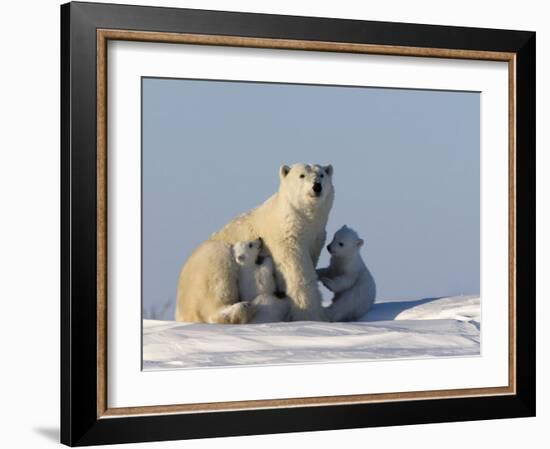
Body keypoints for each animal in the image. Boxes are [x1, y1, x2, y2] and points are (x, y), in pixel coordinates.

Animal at [175, 162, 334, 322]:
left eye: (322, 174)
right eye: (301, 175)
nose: (317, 186)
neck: (300, 218)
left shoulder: (316, 237)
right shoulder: (285, 237)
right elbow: (297, 272)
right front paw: (312, 315)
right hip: (206, 267)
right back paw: (242, 307)